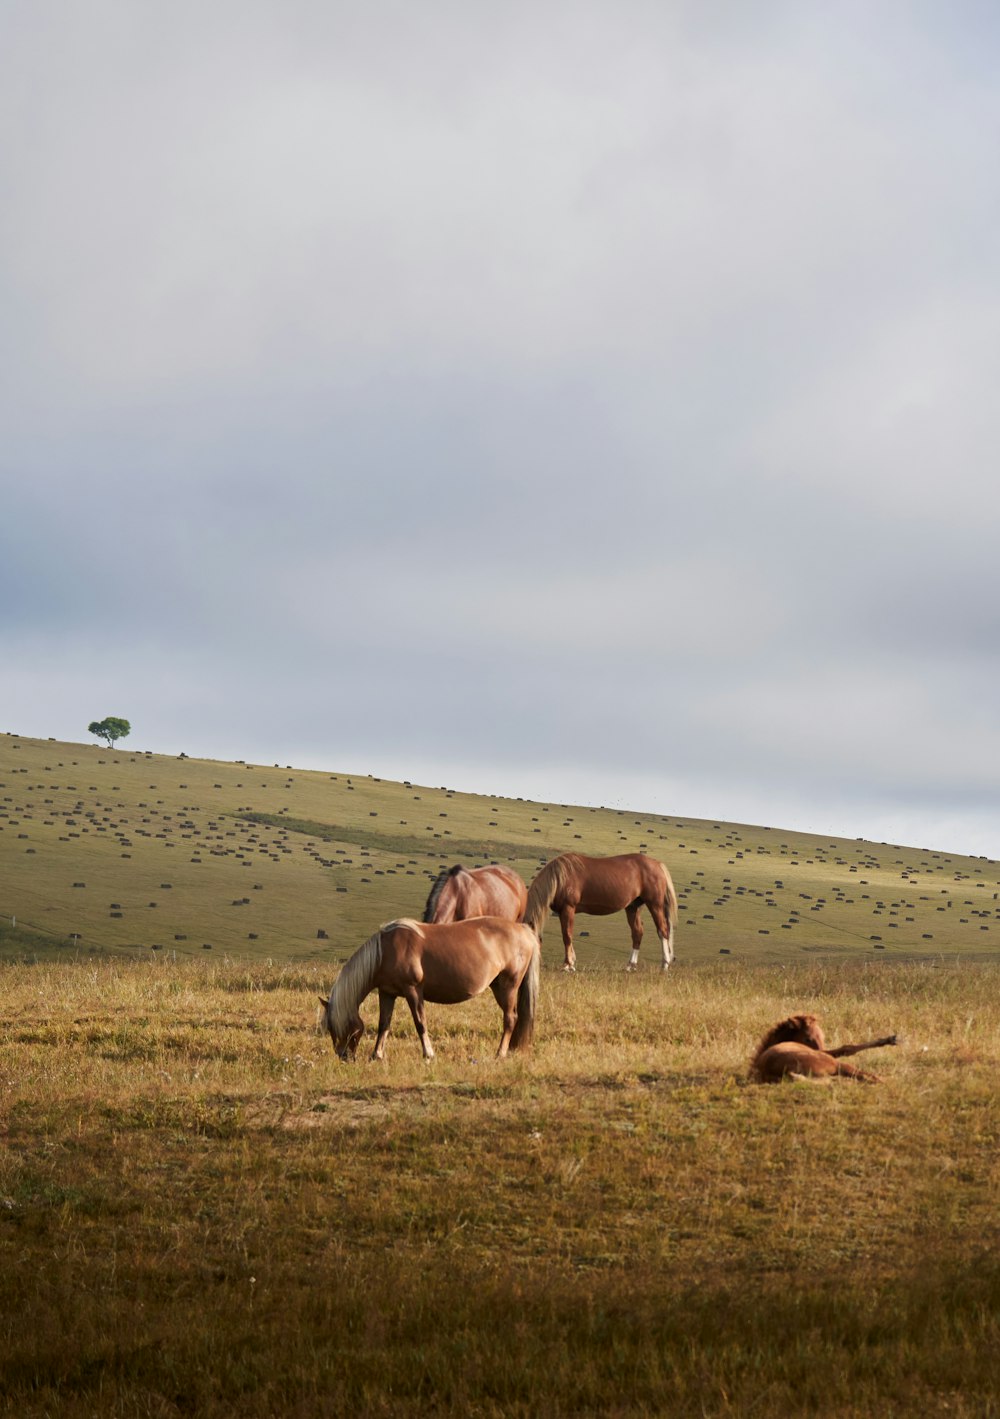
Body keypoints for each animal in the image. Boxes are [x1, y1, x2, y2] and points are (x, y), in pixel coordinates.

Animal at [317, 913, 539, 1061]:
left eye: (334, 1025)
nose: (343, 1056)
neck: (385, 952)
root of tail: (524, 930)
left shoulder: (413, 990)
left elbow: (420, 1023)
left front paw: (428, 1054)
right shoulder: (387, 993)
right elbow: (383, 1024)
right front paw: (376, 1055)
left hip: (508, 986)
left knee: (510, 1019)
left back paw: (500, 1053)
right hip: (499, 987)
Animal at [521, 845, 678, 970]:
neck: (559, 878)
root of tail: (657, 864)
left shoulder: (568, 909)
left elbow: (567, 935)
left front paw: (568, 965)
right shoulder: (561, 912)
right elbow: (567, 935)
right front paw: (572, 961)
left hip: (655, 904)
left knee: (663, 930)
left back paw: (665, 964)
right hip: (633, 907)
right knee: (637, 933)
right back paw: (630, 966)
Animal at [748, 1010, 896, 1084]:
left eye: (822, 1036)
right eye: (808, 1038)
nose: (821, 1050)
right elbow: (847, 1048)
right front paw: (889, 1039)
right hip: (833, 1063)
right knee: (863, 1075)